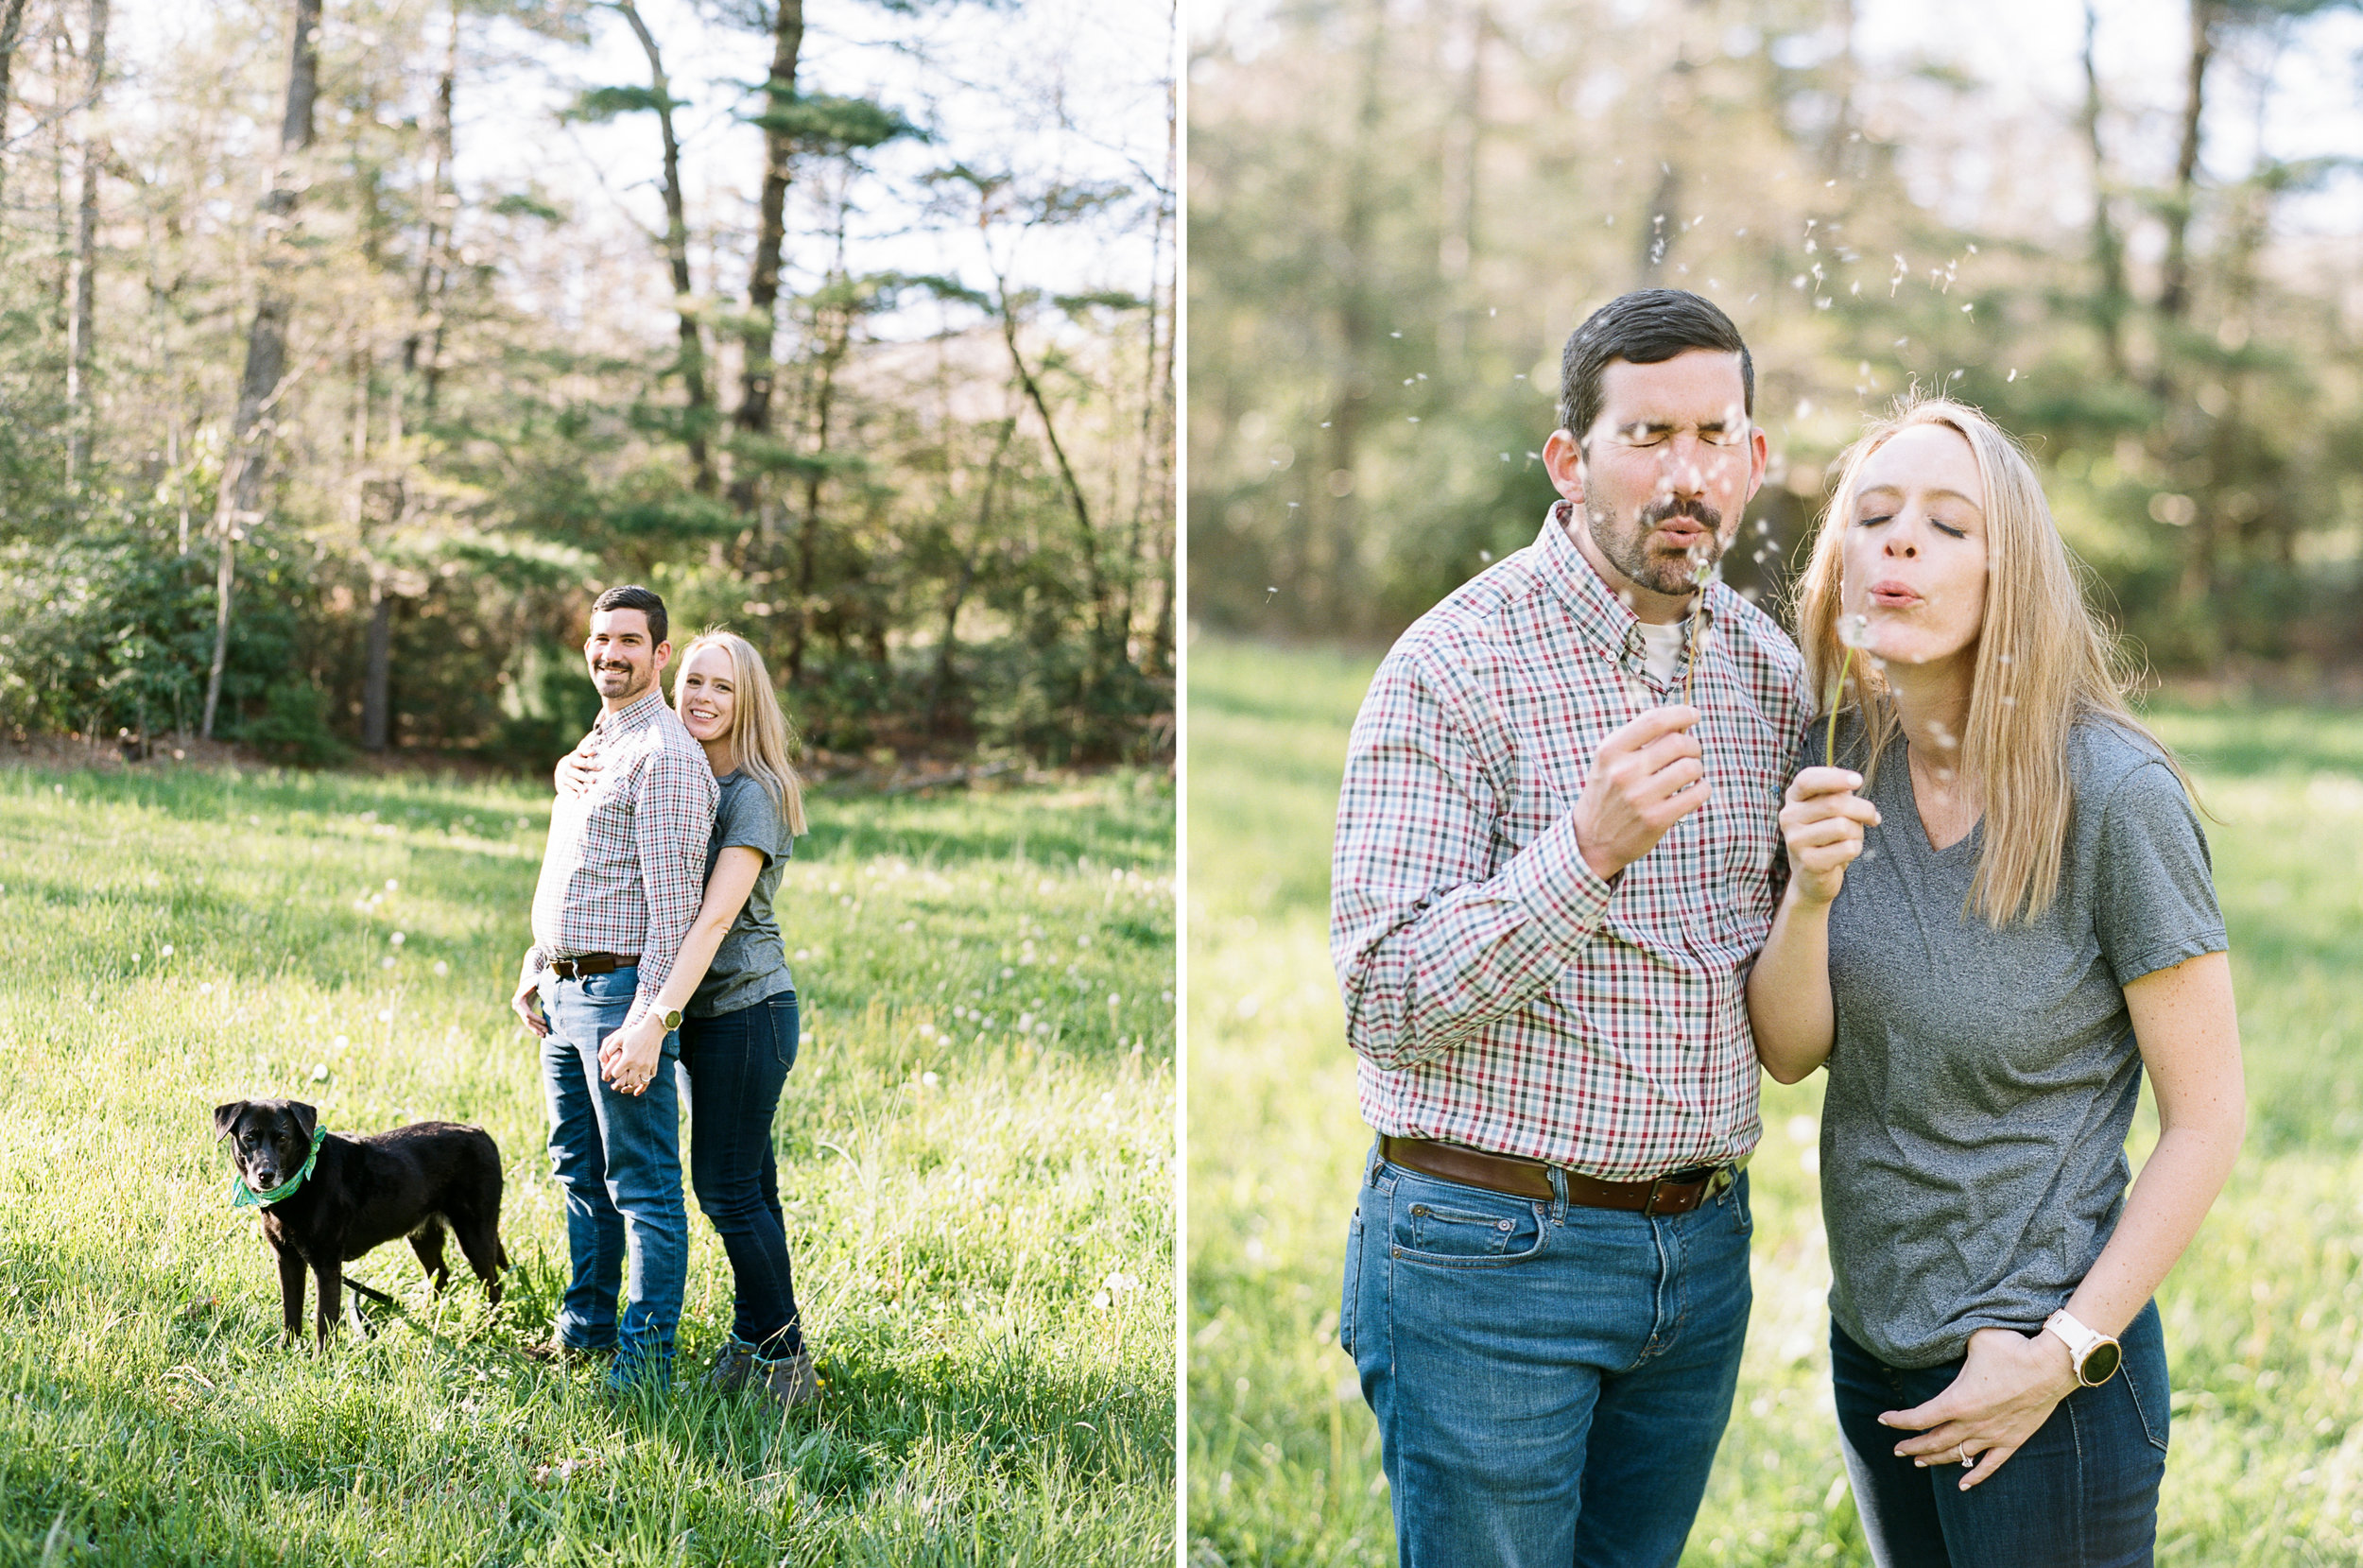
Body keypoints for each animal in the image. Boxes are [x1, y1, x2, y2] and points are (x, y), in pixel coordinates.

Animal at [215, 1100, 510, 1351]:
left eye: (283, 1138)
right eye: (249, 1138)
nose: (265, 1175)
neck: (302, 1181)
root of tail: (479, 1132)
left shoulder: (327, 1267)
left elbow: (323, 1321)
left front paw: (321, 1363)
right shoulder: (287, 1259)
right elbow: (291, 1312)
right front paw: (285, 1351)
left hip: (474, 1236)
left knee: (493, 1289)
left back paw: (487, 1330)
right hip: (422, 1235)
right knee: (441, 1275)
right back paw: (426, 1315)